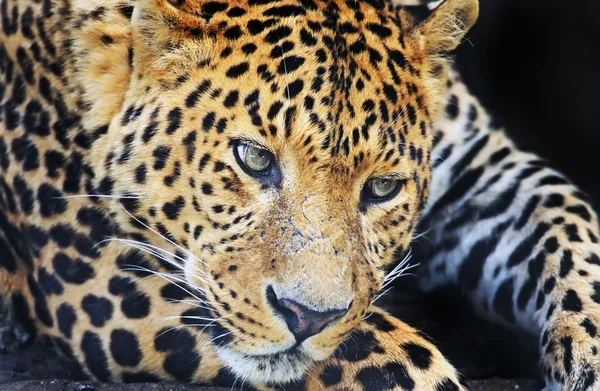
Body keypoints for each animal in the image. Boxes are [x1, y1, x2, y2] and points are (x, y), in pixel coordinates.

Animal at [0, 0, 596, 390]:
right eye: (254, 158)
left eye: (382, 187)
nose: (306, 318)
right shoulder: (89, 257)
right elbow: (382, 351)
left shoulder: (483, 173)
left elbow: (570, 219)